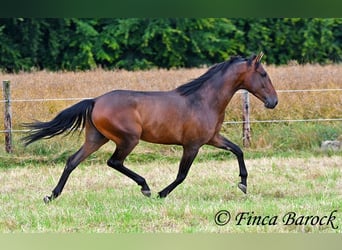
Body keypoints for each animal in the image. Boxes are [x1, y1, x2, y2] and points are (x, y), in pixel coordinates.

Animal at [22, 52, 278, 203]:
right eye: (263, 74)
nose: (273, 102)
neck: (203, 100)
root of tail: (95, 100)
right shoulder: (192, 145)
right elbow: (182, 174)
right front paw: (161, 193)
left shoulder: (213, 138)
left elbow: (238, 150)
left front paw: (243, 184)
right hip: (128, 139)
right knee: (114, 162)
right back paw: (145, 187)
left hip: (96, 139)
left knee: (72, 161)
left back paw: (52, 195)